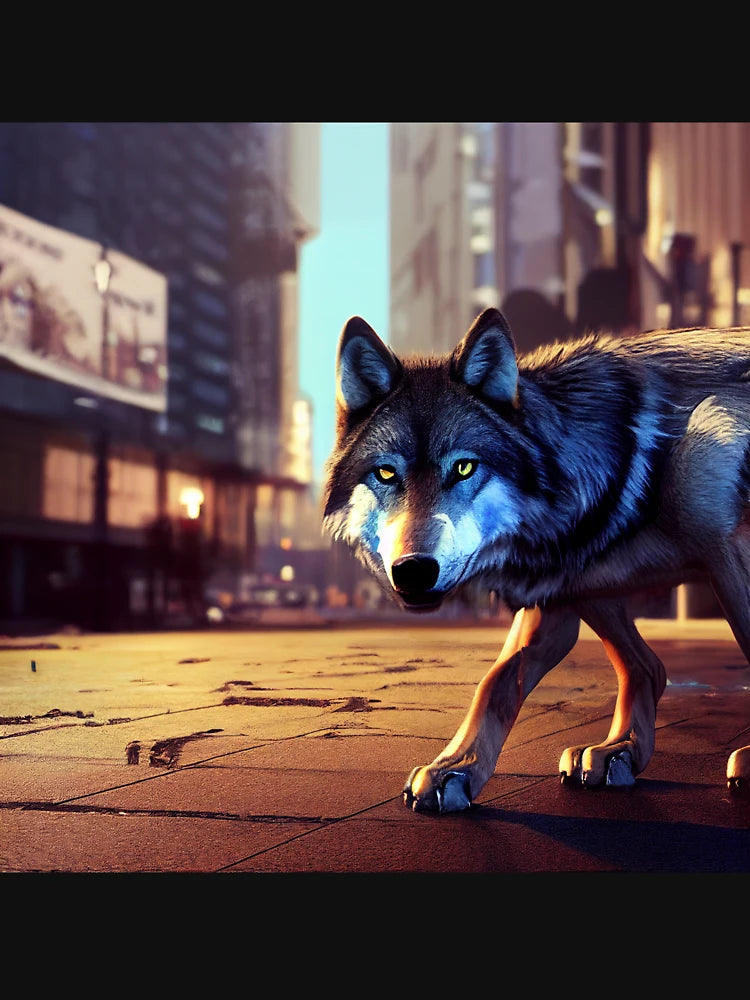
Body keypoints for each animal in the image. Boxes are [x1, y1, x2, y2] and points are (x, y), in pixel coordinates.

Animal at [323, 307, 750, 812]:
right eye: (387, 473)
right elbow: (496, 682)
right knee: (648, 668)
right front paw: (457, 769)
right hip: (587, 581)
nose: (413, 569)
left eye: (464, 467)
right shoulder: (552, 590)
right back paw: (618, 751)